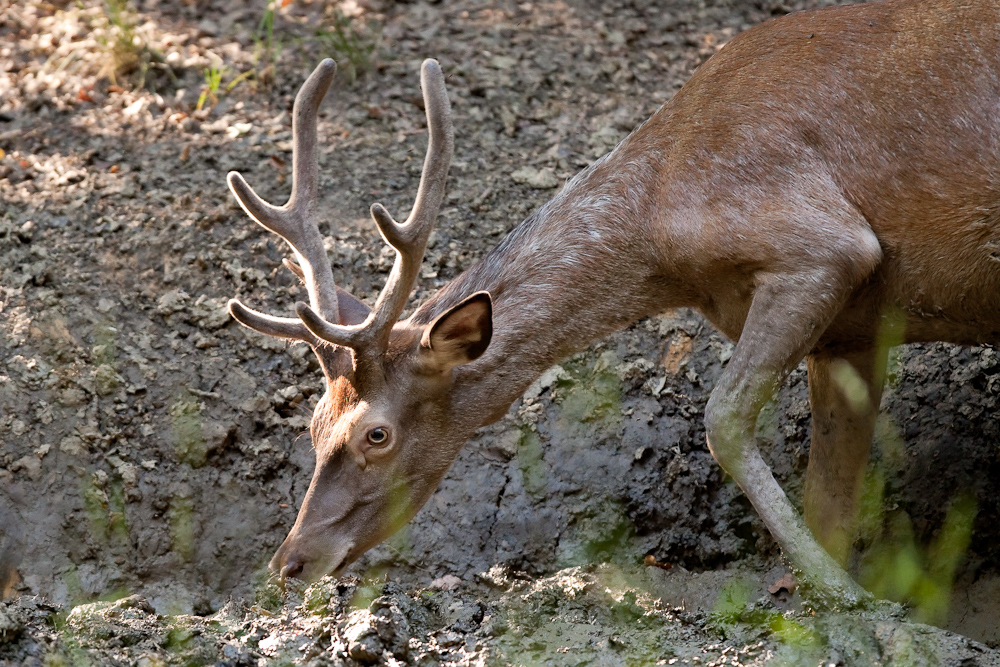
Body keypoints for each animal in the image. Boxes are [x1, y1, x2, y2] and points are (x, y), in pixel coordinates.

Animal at [223, 0, 1000, 608]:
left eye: (375, 435)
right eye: (312, 426)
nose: (289, 561)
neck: (662, 227)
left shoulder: (824, 248)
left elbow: (723, 419)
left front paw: (848, 597)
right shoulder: (852, 332)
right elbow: (832, 497)